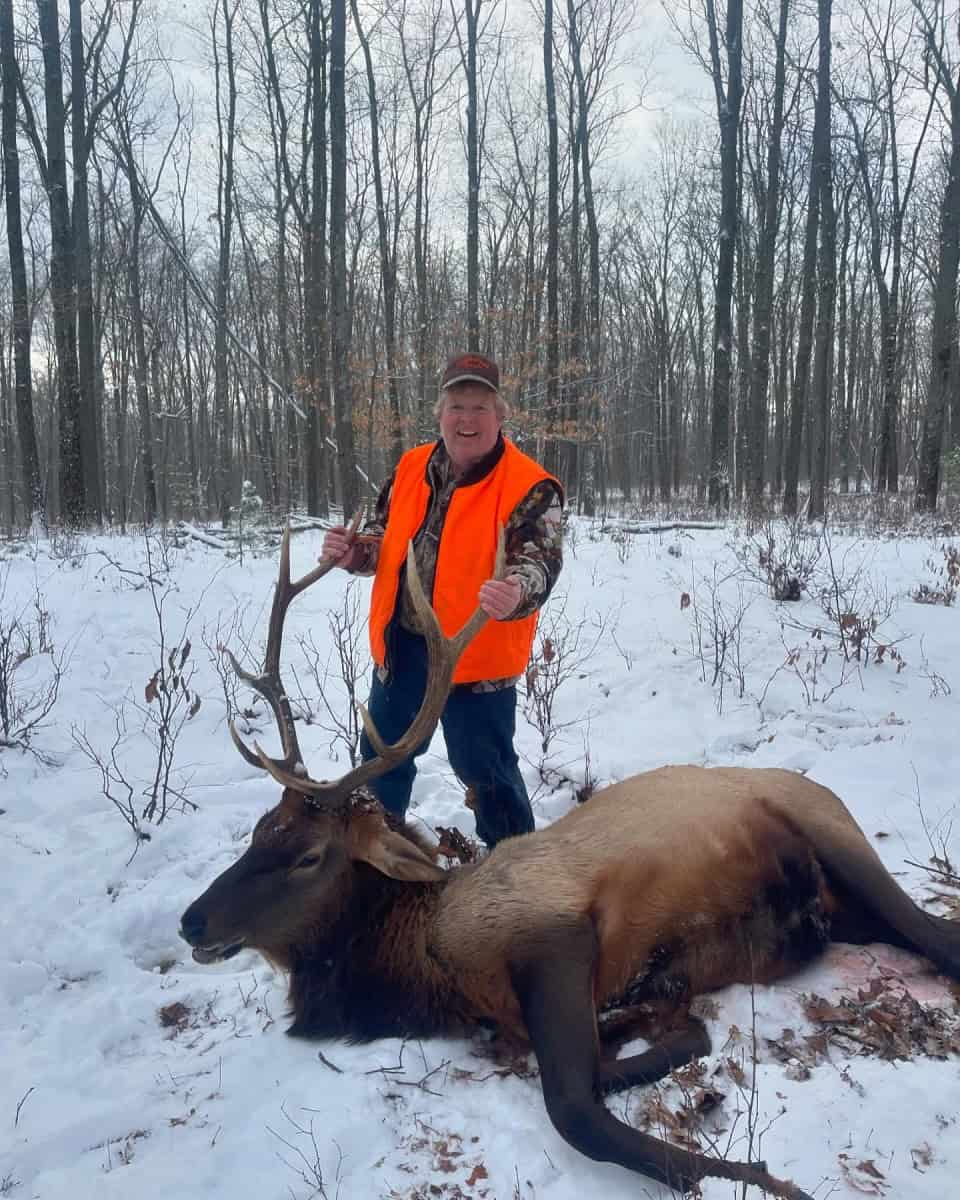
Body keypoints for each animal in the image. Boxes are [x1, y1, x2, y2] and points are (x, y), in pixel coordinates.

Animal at [181, 523, 960, 1200]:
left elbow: (576, 1109)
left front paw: (764, 1176)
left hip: (832, 832)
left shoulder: (552, 936)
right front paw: (674, 1026)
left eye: (308, 854)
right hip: (836, 907)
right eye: (259, 830)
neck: (429, 968)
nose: (193, 922)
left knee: (936, 933)